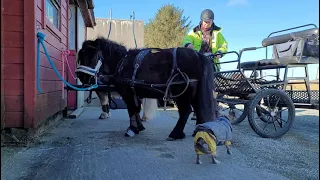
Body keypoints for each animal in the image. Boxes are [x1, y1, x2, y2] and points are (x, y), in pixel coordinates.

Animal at [77, 37, 218, 141]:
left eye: (92, 56)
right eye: (80, 57)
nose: (81, 76)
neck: (121, 63)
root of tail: (198, 56)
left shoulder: (127, 93)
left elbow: (132, 109)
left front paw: (132, 129)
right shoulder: (135, 93)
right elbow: (136, 109)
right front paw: (139, 127)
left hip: (182, 93)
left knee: (185, 111)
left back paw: (175, 134)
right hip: (193, 93)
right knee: (198, 109)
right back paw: (197, 130)